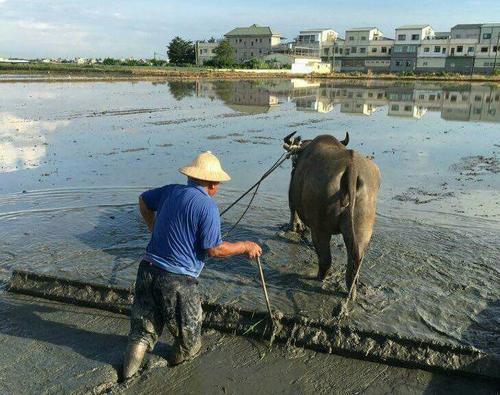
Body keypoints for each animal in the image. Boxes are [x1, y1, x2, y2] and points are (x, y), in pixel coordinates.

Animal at [284, 133, 380, 300]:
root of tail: (351, 168)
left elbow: (293, 211)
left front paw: (295, 226)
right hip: (362, 227)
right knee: (355, 260)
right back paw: (351, 290)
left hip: (320, 228)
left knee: (325, 258)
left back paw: (319, 277)